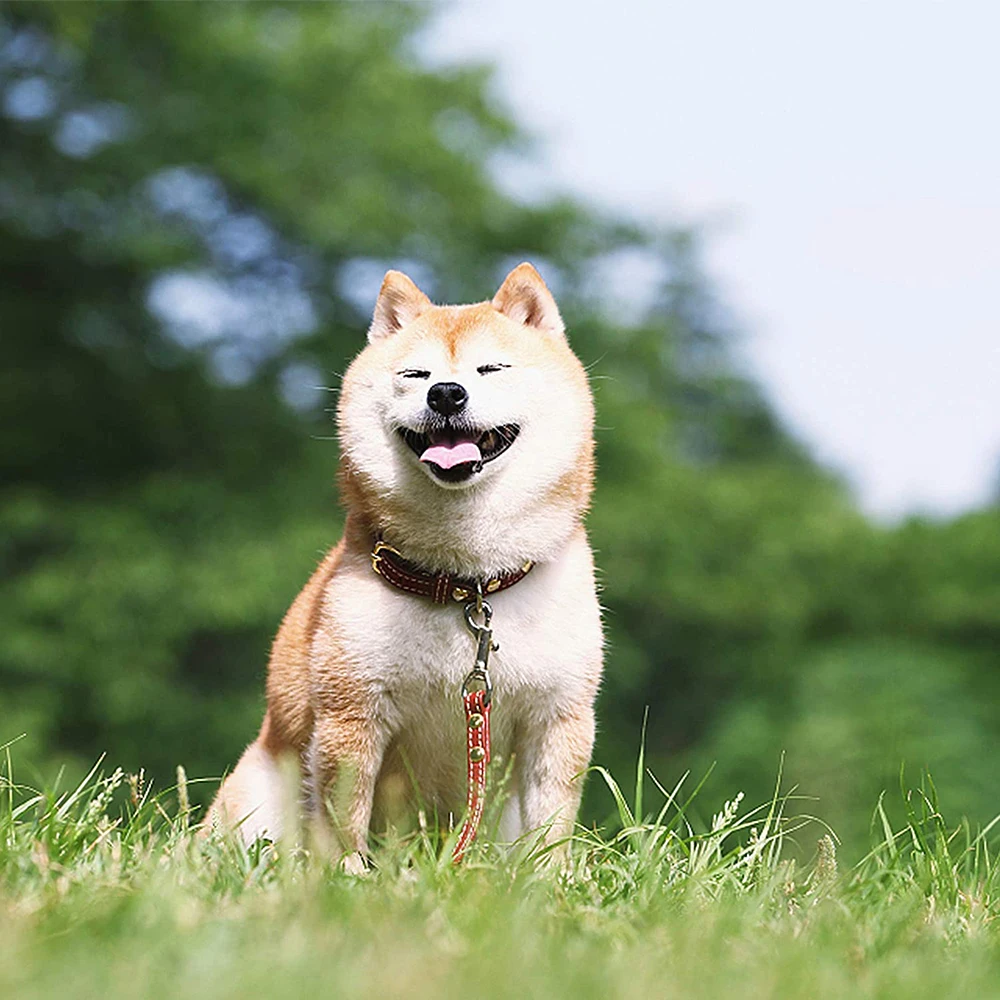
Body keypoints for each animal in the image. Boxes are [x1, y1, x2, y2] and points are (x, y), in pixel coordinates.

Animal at [209, 264, 600, 860]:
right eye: (416, 374)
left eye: (492, 368)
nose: (446, 393)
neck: (465, 582)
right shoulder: (351, 714)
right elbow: (343, 823)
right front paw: (347, 875)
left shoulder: (558, 718)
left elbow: (550, 830)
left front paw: (547, 878)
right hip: (256, 799)